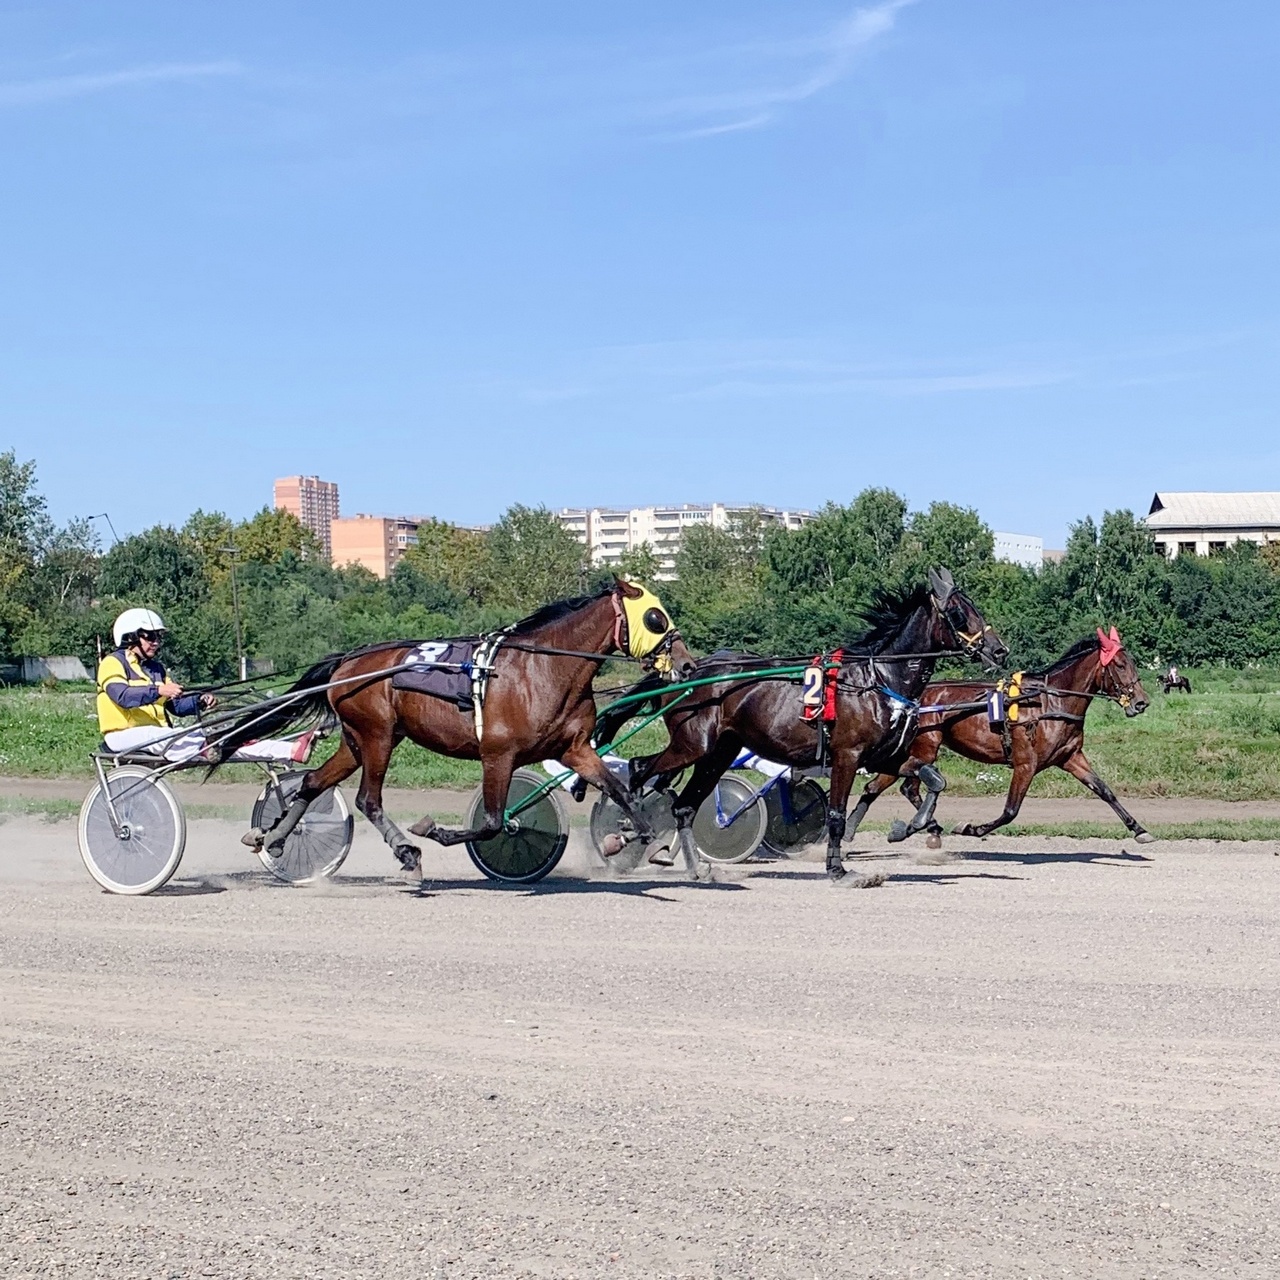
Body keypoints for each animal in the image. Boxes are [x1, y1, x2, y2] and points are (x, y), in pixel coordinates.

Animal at [221, 586, 701, 875]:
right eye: (655, 617)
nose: (687, 664)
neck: (542, 669)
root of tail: (347, 660)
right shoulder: (498, 756)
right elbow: (491, 823)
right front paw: (432, 831)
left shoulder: (575, 749)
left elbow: (621, 792)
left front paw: (633, 837)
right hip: (377, 737)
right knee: (367, 799)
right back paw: (406, 853)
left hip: (358, 741)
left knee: (313, 783)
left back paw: (275, 838)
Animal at [609, 568, 1008, 880]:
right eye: (959, 612)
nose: (998, 649)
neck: (876, 679)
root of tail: (686, 673)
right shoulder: (847, 755)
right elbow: (836, 813)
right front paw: (838, 868)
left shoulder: (883, 756)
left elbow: (933, 779)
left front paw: (912, 826)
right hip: (693, 744)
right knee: (641, 768)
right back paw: (627, 830)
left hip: (718, 752)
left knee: (684, 806)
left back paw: (693, 868)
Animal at [849, 627, 1152, 839]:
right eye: (1121, 665)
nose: (1141, 702)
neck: (1050, 703)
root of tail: (905, 701)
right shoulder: (1026, 764)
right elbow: (1010, 811)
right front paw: (971, 829)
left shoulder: (1071, 757)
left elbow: (1104, 790)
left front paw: (1138, 829)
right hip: (924, 747)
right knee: (907, 786)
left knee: (879, 787)